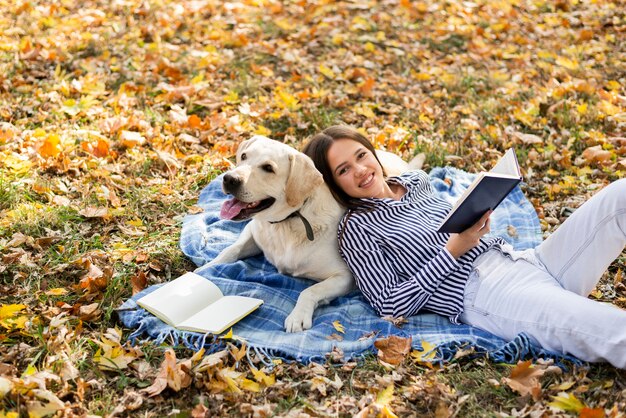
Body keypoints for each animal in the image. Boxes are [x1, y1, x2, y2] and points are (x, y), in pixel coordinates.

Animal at [210, 136, 412, 332]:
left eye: (268, 168)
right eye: (244, 156)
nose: (229, 179)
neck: (287, 222)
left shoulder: (345, 276)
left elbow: (310, 290)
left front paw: (297, 317)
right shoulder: (252, 230)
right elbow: (230, 251)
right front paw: (207, 268)